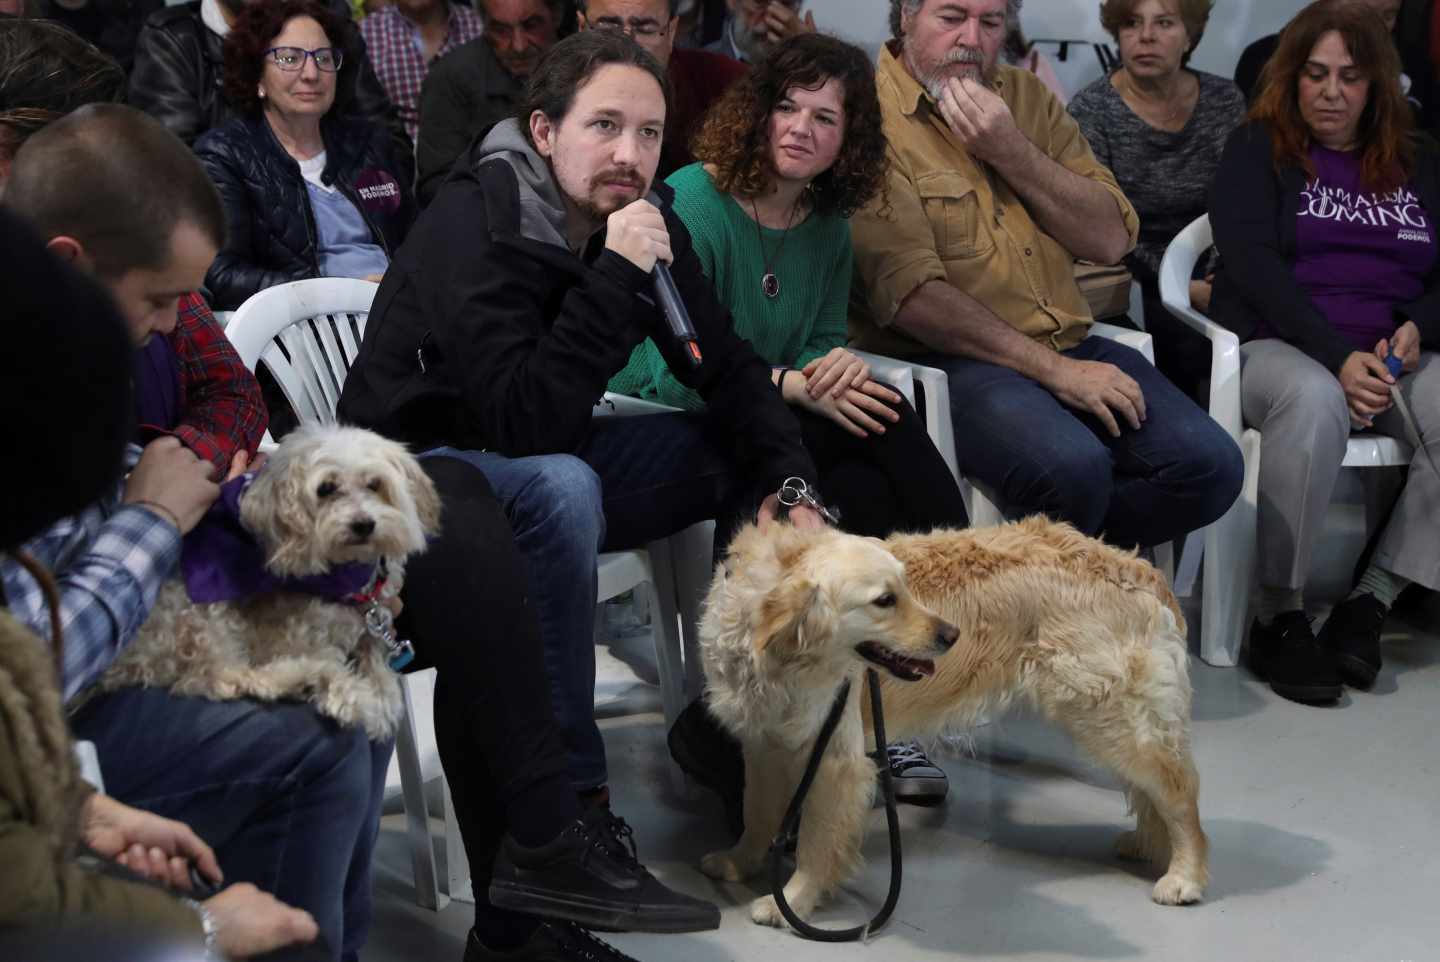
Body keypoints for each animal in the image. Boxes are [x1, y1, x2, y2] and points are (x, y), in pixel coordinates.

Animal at [95, 423, 437, 743]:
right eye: (326, 488)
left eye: (375, 484)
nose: (364, 524)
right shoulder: (291, 635)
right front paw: (356, 699)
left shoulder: (373, 623)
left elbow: (379, 666)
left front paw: (384, 696)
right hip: (198, 617)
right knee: (227, 678)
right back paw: (314, 677)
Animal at [696, 515, 1203, 927]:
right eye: (885, 600)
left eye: (904, 589)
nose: (951, 635)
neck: (783, 656)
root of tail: (1142, 571)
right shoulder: (763, 743)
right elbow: (757, 813)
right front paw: (739, 862)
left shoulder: (835, 759)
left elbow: (817, 841)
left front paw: (792, 902)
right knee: (1153, 792)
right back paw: (1146, 844)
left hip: (1111, 717)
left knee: (1179, 793)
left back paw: (1185, 876)